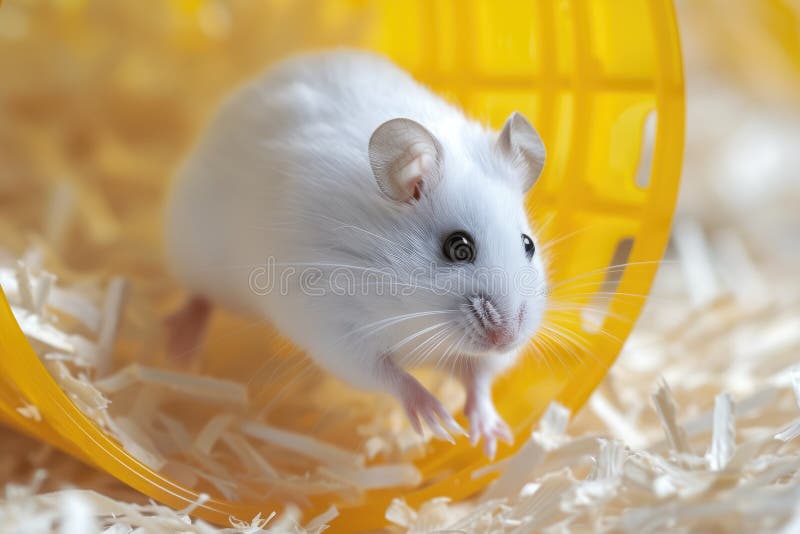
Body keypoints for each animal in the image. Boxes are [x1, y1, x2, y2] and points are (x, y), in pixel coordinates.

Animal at [165, 50, 548, 458]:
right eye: (458, 247)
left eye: (528, 245)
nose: (508, 338)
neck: (410, 308)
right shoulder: (335, 327)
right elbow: (387, 374)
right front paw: (437, 421)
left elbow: (479, 377)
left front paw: (490, 436)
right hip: (194, 249)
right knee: (198, 297)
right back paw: (179, 348)